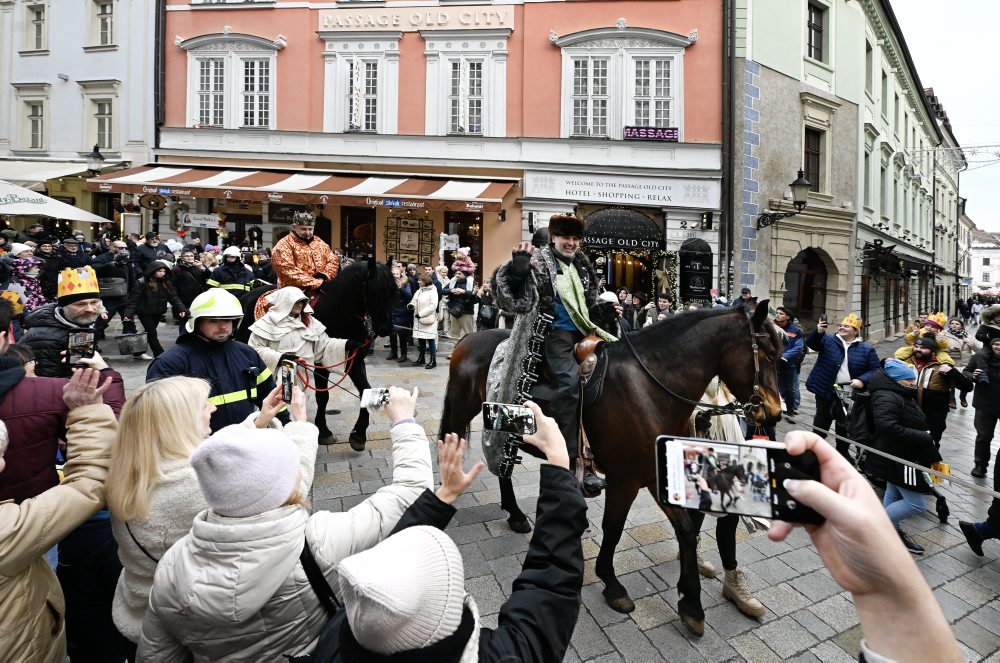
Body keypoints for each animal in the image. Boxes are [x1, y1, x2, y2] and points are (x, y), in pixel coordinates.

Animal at [236, 256, 396, 448]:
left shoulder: (354, 358)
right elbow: (323, 396)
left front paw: (358, 435)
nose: (386, 329)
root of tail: (246, 296)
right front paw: (324, 431)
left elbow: (365, 389)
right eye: (374, 290)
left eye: (394, 291)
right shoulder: (321, 363)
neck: (338, 312)